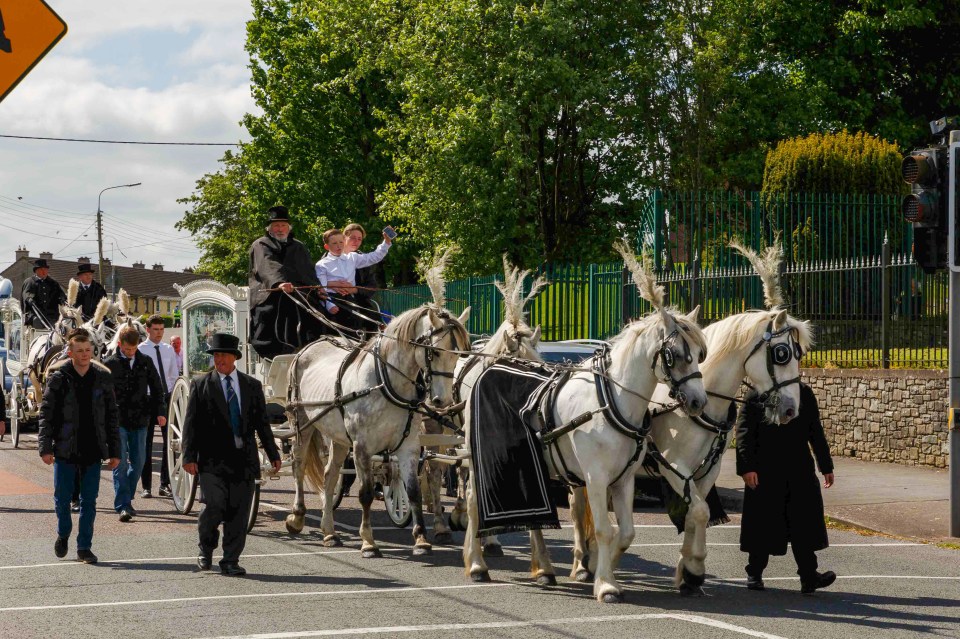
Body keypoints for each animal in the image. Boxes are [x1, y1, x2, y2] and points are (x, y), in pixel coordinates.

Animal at [464, 242, 712, 604]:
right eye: (676, 355)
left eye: (701, 353)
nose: (698, 402)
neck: (611, 401)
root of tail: (488, 367)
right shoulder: (595, 477)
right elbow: (607, 530)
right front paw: (606, 585)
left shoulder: (624, 479)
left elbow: (626, 531)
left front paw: (597, 567)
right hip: (476, 460)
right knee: (471, 501)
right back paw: (477, 563)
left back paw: (543, 569)